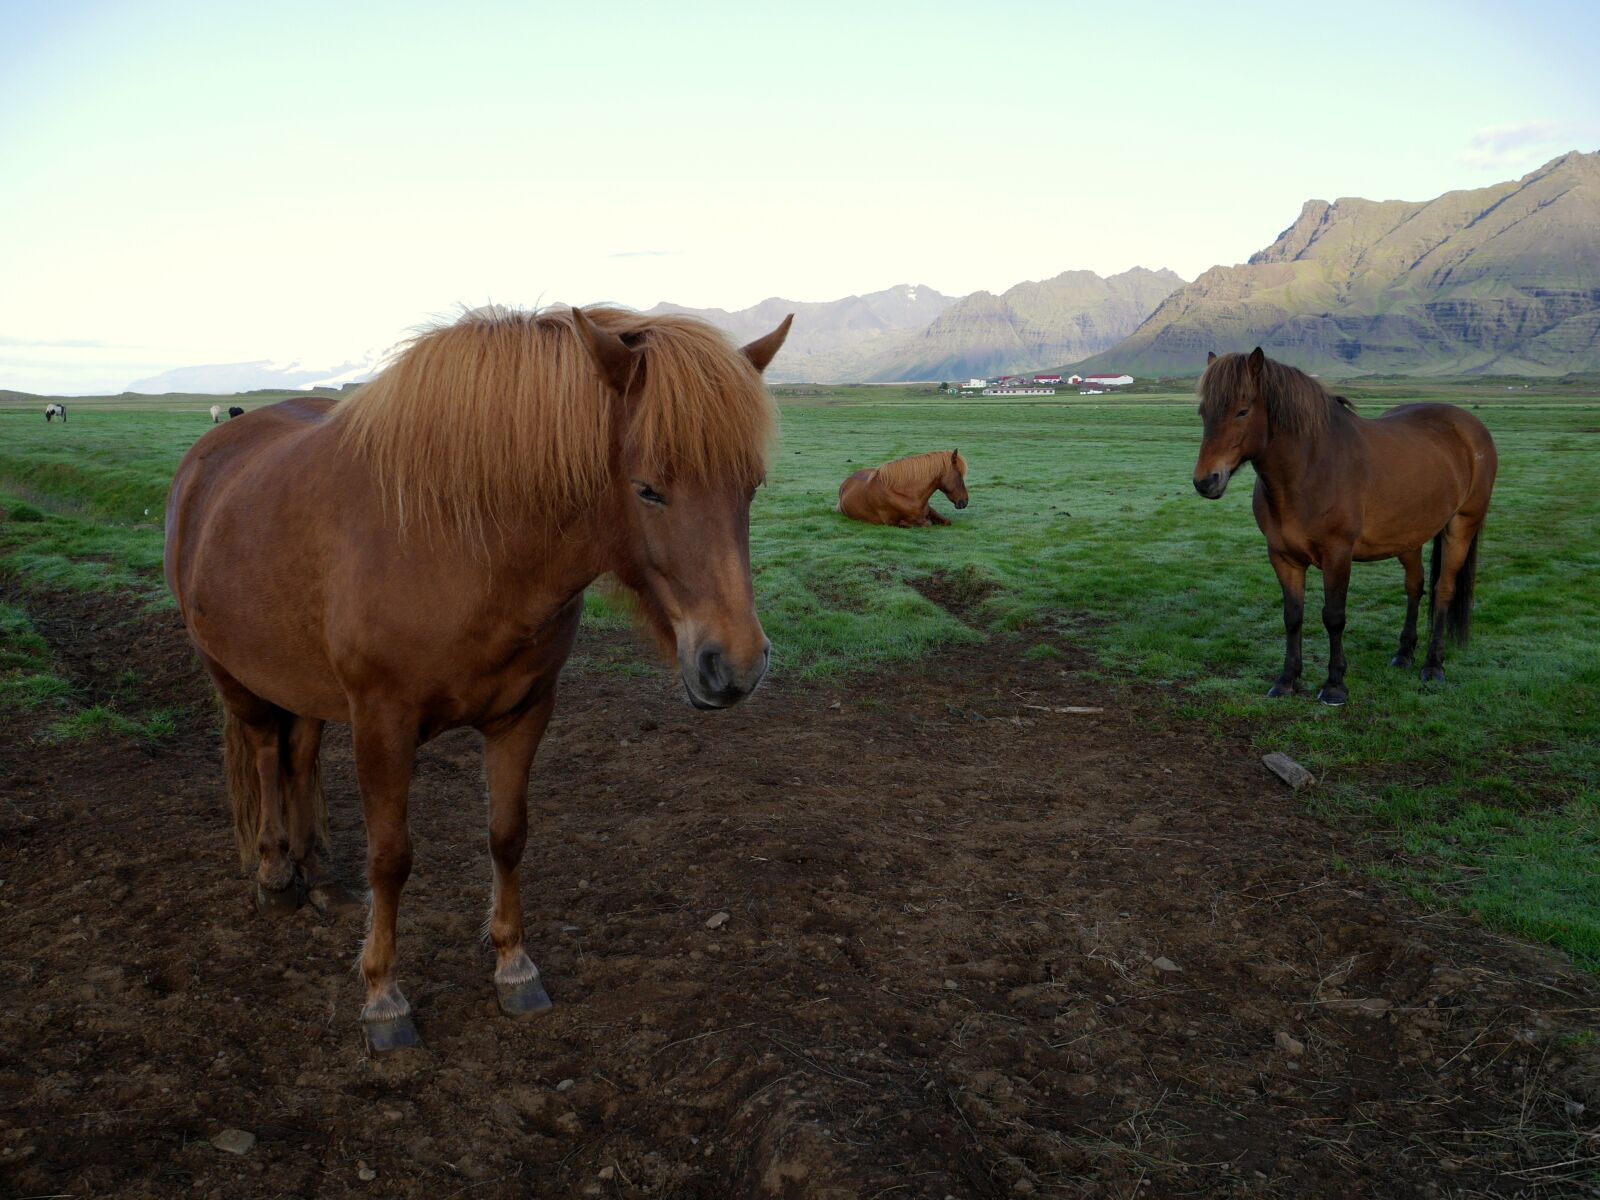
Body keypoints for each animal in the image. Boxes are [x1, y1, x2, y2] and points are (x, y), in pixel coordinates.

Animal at [165, 302, 790, 1049]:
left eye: (750, 487)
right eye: (648, 490)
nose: (736, 665)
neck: (461, 544)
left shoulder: (524, 713)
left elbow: (507, 835)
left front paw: (514, 967)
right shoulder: (383, 724)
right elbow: (391, 857)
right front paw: (383, 998)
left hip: (305, 684)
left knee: (299, 755)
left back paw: (316, 873)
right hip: (234, 676)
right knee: (264, 753)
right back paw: (273, 874)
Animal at [1190, 347, 1497, 704]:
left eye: (1242, 411)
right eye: (1203, 412)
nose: (1206, 481)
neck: (1309, 470)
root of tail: (1468, 425)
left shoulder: (1337, 555)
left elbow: (1334, 617)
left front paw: (1335, 684)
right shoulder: (1283, 557)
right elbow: (1293, 616)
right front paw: (1286, 680)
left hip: (1461, 527)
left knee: (1443, 589)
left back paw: (1433, 666)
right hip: (1407, 536)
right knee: (1414, 586)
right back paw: (1404, 654)